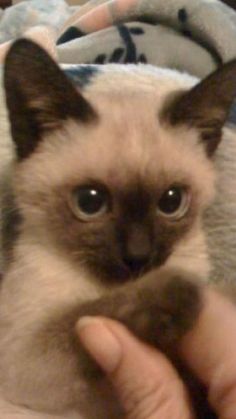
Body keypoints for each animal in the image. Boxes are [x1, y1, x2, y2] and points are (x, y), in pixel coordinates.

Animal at [0, 40, 236, 419]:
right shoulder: (24, 360)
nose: (138, 256)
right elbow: (81, 317)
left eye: (171, 202)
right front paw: (179, 293)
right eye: (89, 202)